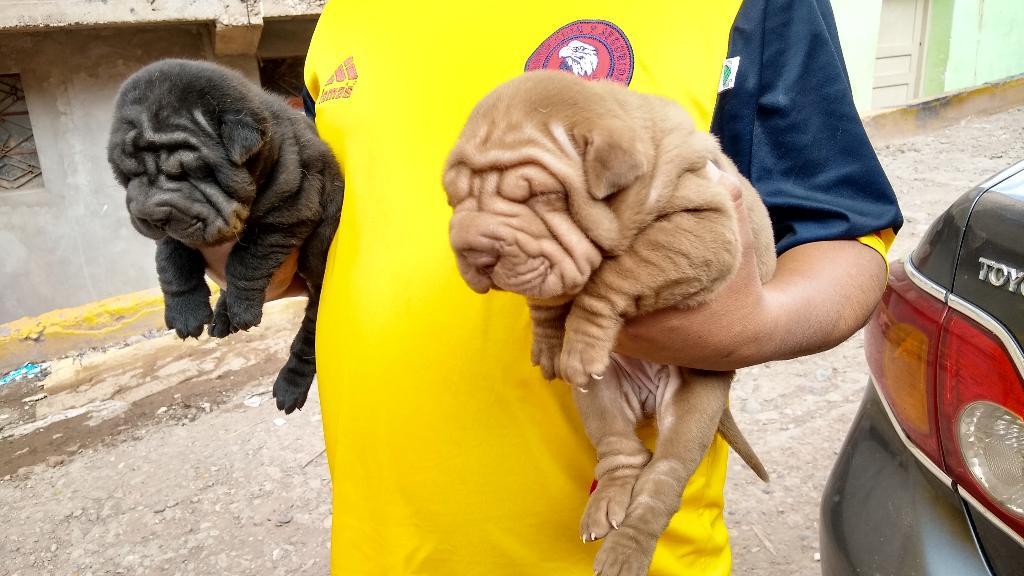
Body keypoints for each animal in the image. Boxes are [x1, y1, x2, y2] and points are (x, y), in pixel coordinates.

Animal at [107, 58, 342, 412]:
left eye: (190, 171)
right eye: (128, 174)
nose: (150, 214)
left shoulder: (291, 210)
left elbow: (248, 258)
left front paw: (242, 308)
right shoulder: (174, 236)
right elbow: (172, 263)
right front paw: (186, 313)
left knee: (308, 339)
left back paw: (287, 389)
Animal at [444, 69, 770, 569]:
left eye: (539, 195)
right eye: (454, 198)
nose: (471, 250)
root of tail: (648, 399)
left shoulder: (702, 225)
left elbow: (619, 271)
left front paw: (578, 340)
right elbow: (550, 294)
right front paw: (549, 342)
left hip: (696, 402)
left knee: (662, 479)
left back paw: (625, 553)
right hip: (598, 396)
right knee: (622, 452)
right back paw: (607, 505)